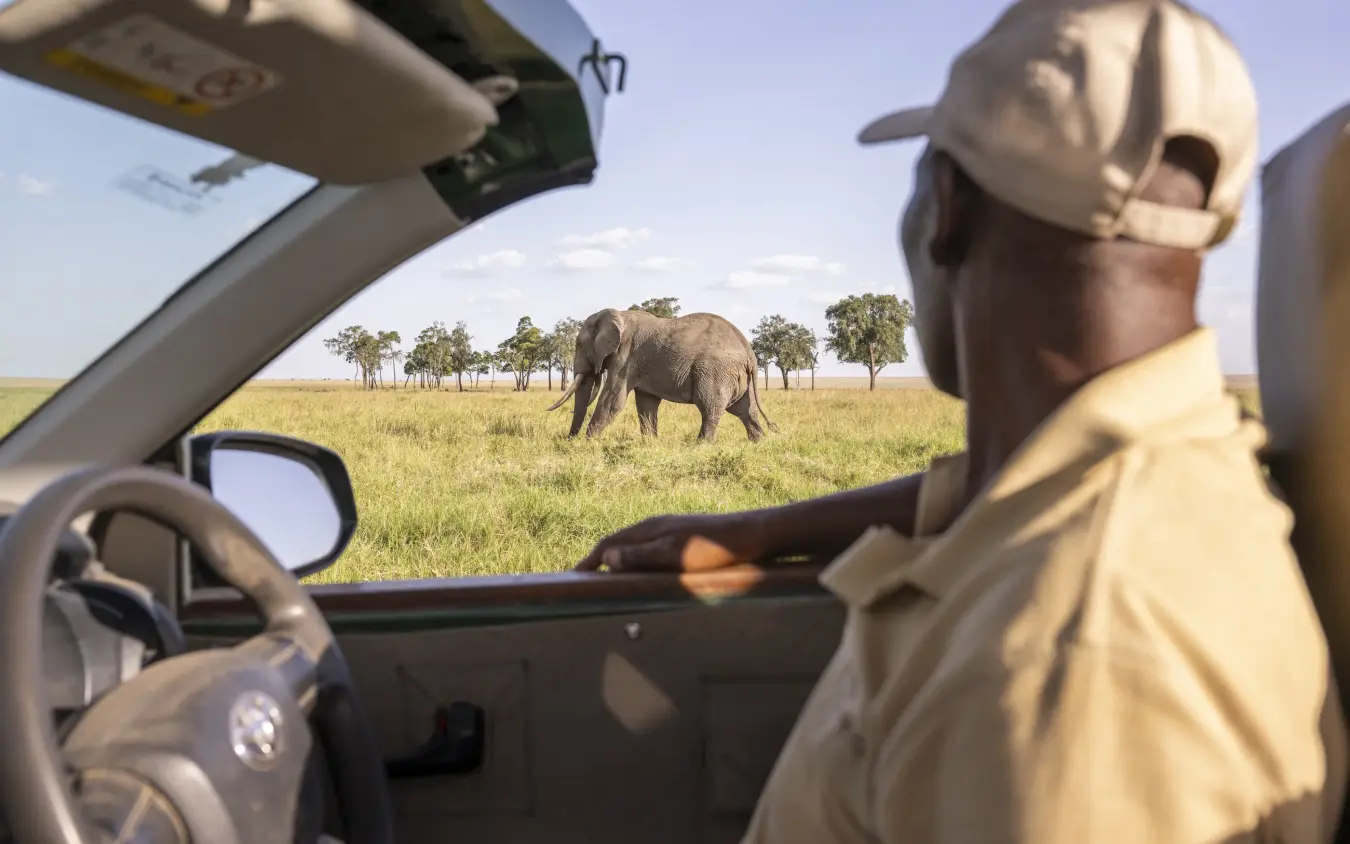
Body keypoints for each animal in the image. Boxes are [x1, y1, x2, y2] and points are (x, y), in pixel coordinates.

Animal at [546, 308, 779, 442]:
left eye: (579, 345)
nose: (568, 441)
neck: (617, 315)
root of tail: (749, 352)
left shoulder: (625, 356)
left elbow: (612, 400)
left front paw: (588, 444)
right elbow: (646, 404)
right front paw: (650, 445)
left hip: (716, 371)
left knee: (710, 408)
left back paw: (700, 446)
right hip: (737, 376)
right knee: (745, 410)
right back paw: (758, 443)